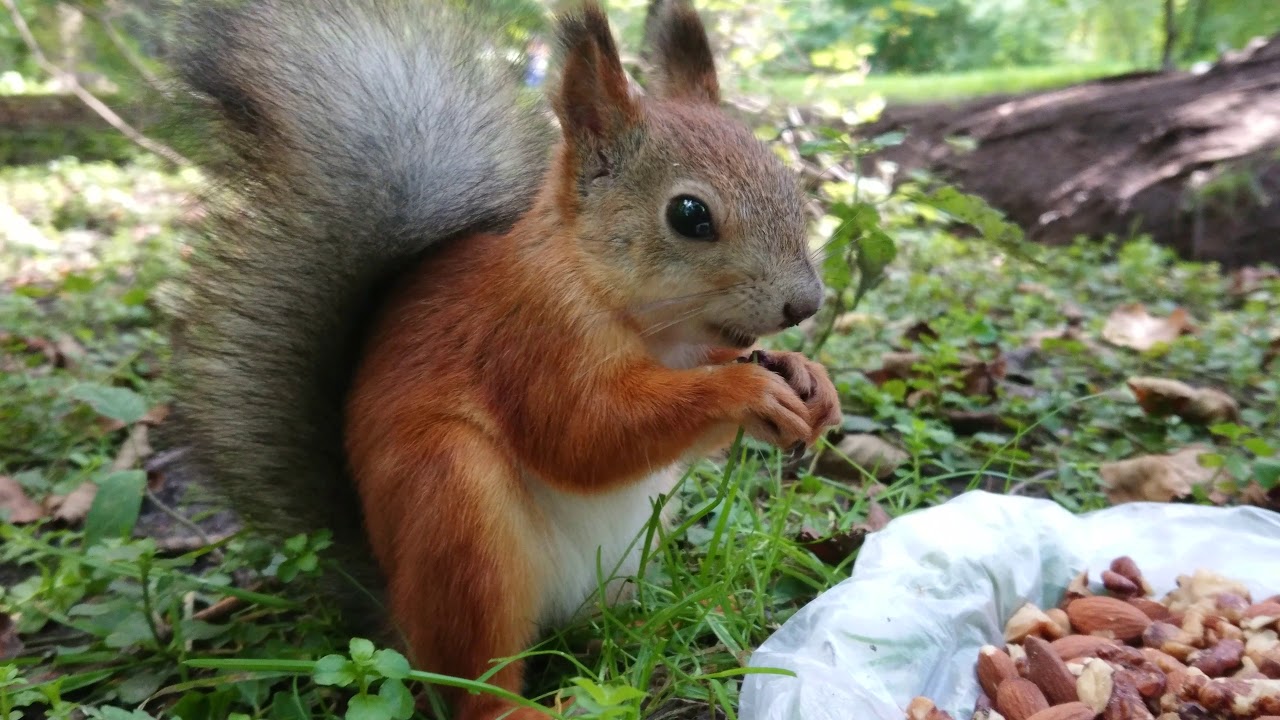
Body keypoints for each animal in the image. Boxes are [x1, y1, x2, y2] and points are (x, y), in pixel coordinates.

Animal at [170, 1, 844, 717]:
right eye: (689, 215)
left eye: (787, 179)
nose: (805, 303)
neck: (648, 323)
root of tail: (389, 610)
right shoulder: (530, 339)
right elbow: (581, 437)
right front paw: (744, 391)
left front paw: (806, 376)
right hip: (456, 513)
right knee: (470, 678)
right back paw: (530, 703)